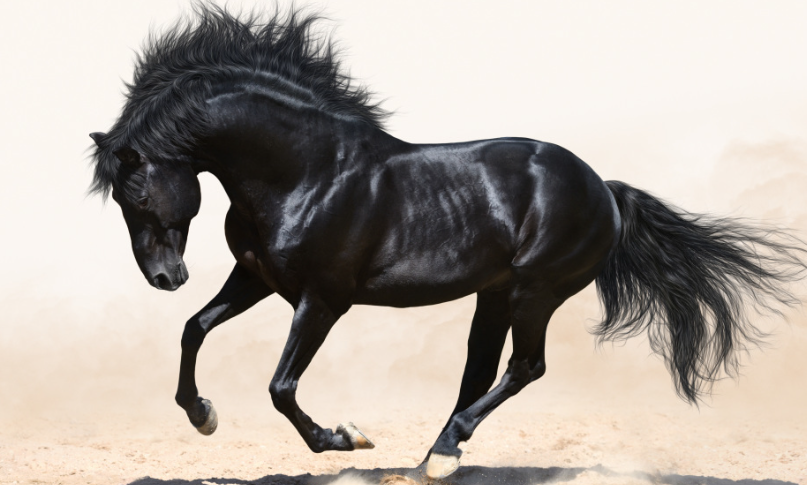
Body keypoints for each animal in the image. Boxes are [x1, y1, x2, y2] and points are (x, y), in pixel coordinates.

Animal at [89, 6, 806, 479]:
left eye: (137, 194)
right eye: (120, 200)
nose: (164, 277)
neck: (308, 172)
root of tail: (601, 187)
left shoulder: (322, 300)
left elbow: (281, 386)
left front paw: (346, 438)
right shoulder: (258, 278)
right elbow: (194, 329)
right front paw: (202, 414)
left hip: (534, 291)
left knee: (524, 367)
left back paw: (439, 456)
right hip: (495, 294)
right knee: (479, 372)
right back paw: (433, 456)